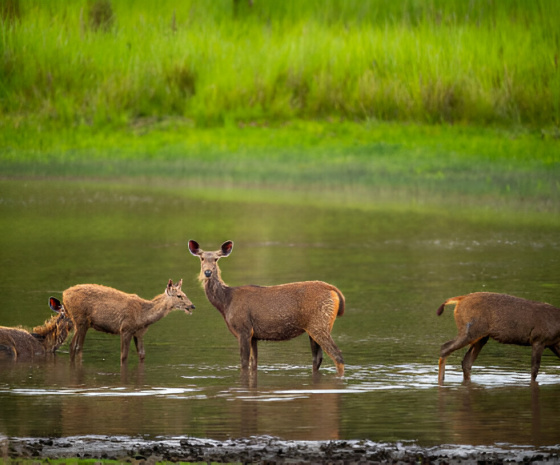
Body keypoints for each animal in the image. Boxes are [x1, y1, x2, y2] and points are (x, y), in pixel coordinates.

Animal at [60, 278, 196, 364]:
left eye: (184, 294)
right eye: (179, 296)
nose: (192, 306)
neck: (143, 316)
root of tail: (64, 294)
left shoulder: (139, 333)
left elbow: (142, 354)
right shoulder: (125, 329)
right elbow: (124, 356)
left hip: (80, 323)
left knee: (73, 346)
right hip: (81, 321)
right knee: (77, 347)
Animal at [189, 237, 346, 376]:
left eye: (216, 259)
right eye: (202, 258)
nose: (207, 272)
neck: (225, 302)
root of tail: (333, 290)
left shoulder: (243, 329)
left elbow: (244, 363)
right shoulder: (254, 335)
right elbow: (254, 363)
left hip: (320, 323)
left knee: (337, 355)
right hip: (314, 327)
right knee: (317, 358)